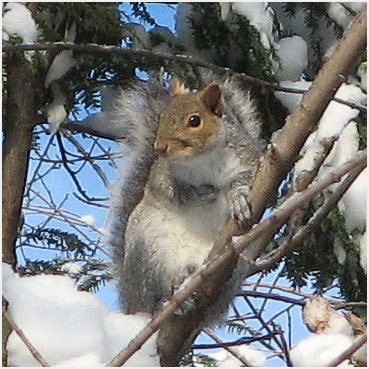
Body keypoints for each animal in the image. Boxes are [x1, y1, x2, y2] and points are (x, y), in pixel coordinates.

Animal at [108, 72, 264, 320]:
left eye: (194, 121)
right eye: (162, 117)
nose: (160, 147)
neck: (202, 158)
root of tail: (130, 302)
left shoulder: (250, 160)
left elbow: (246, 181)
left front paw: (237, 198)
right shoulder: (161, 174)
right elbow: (172, 191)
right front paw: (201, 192)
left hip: (238, 262)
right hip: (147, 253)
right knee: (153, 296)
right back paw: (168, 299)